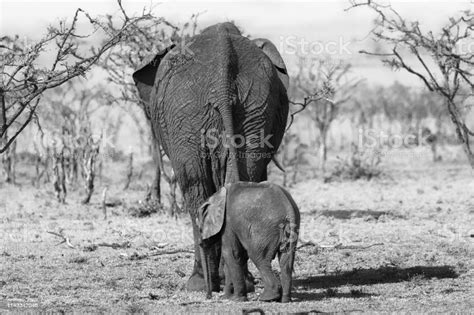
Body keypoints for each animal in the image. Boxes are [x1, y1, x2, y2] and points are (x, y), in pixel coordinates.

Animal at [132, 22, 288, 292]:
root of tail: (222, 81)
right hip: (252, 107)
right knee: (233, 181)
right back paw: (237, 282)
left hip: (189, 114)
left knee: (195, 189)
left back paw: (202, 283)